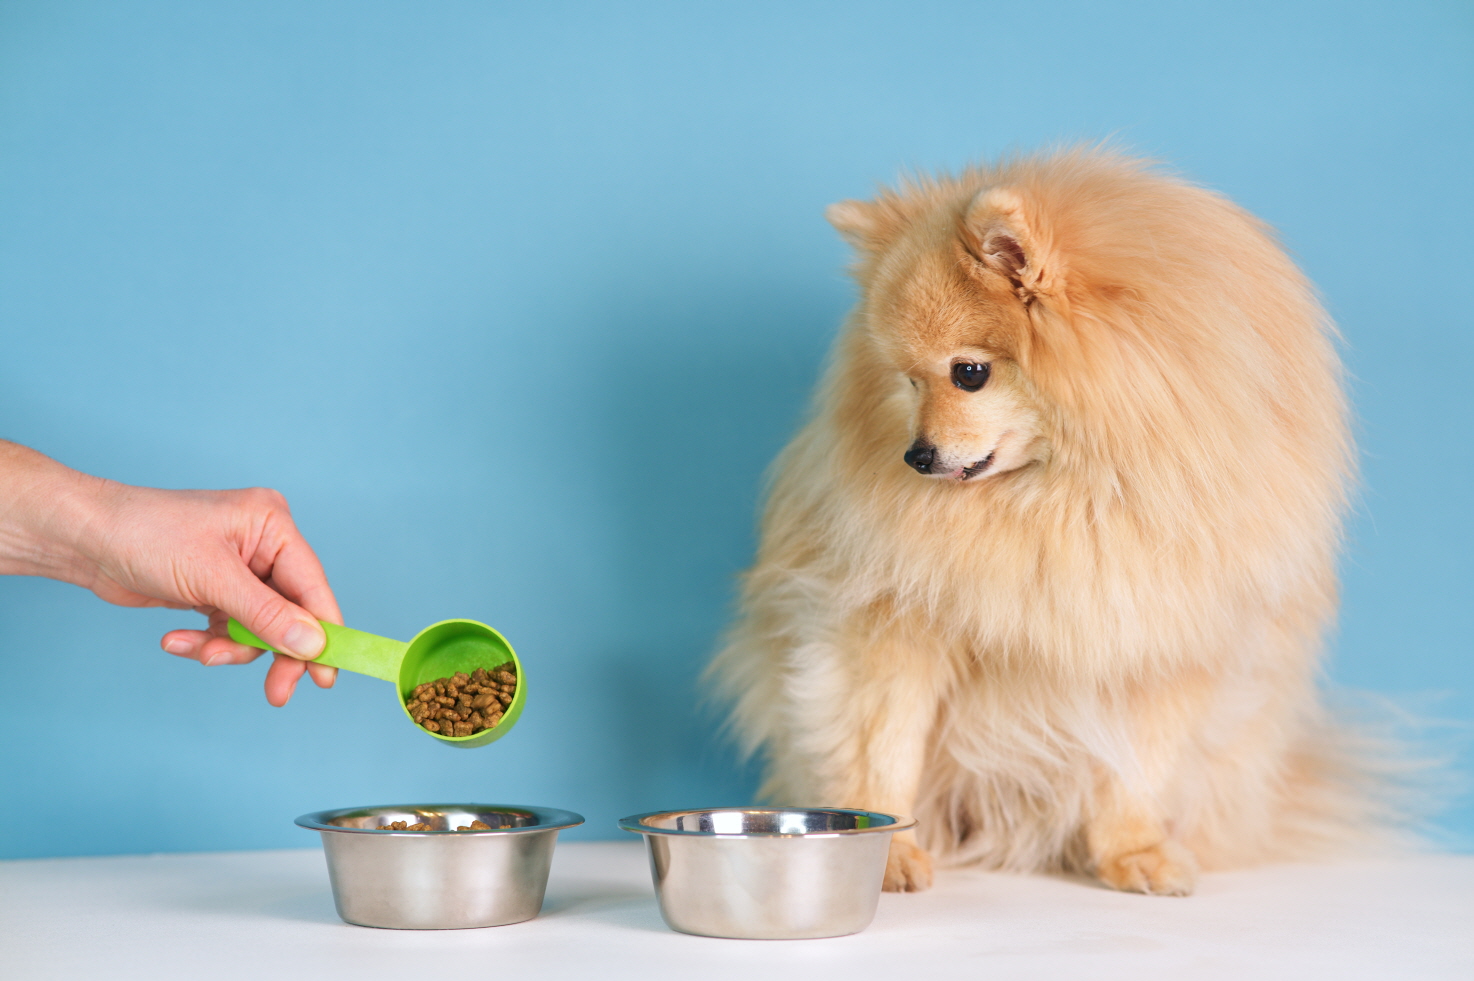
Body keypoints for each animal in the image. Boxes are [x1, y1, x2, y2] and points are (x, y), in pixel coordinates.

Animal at [707, 147, 1373, 895]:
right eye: (908, 381)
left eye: (968, 373)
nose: (915, 455)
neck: (1070, 494)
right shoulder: (889, 625)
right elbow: (884, 749)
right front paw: (889, 851)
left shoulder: (1161, 639)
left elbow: (1138, 768)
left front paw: (1133, 850)